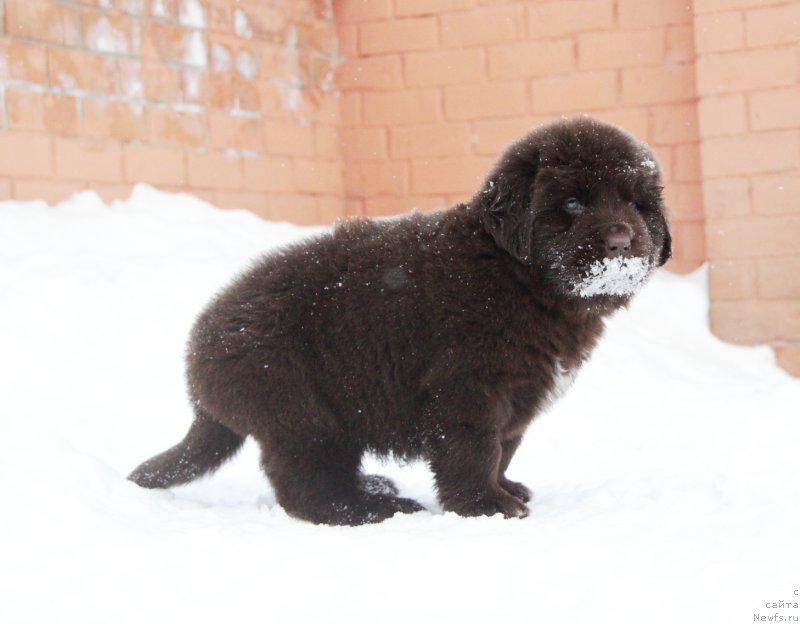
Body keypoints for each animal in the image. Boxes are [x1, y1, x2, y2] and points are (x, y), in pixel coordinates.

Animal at [130, 114, 668, 524]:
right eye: (573, 202)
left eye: (636, 203)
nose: (621, 240)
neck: (519, 277)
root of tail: (200, 349)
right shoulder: (467, 386)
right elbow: (474, 449)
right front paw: (485, 506)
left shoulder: (520, 392)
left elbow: (505, 446)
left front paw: (505, 489)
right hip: (301, 412)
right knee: (306, 488)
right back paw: (371, 509)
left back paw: (375, 488)